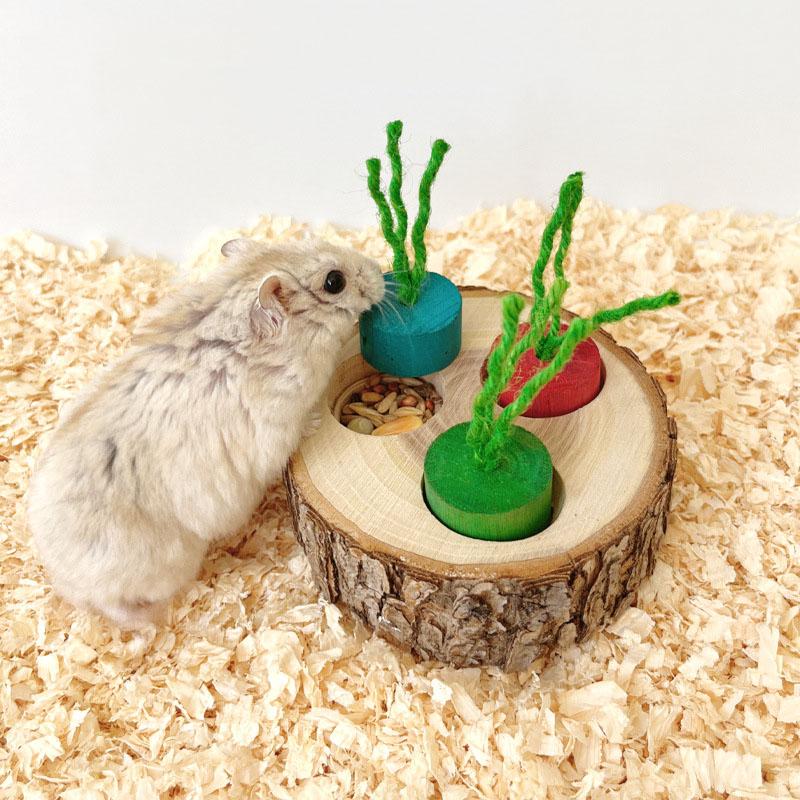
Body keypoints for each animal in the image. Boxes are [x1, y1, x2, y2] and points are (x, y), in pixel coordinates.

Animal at [26, 239, 385, 628]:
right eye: (334, 282)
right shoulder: (275, 423)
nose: (381, 272)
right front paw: (317, 421)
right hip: (163, 565)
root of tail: (62, 578)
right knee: (112, 606)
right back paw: (151, 621)